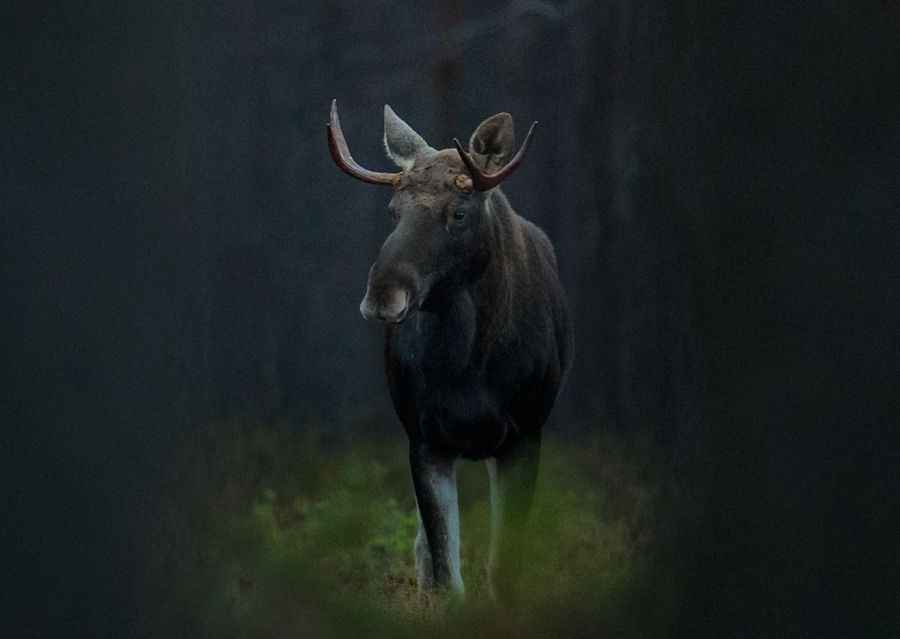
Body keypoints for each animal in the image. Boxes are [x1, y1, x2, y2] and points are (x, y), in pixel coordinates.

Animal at [327, 100, 573, 600]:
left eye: (458, 213)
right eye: (392, 210)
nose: (382, 294)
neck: (469, 368)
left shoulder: (526, 433)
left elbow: (504, 566)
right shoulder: (424, 437)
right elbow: (444, 567)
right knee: (424, 547)